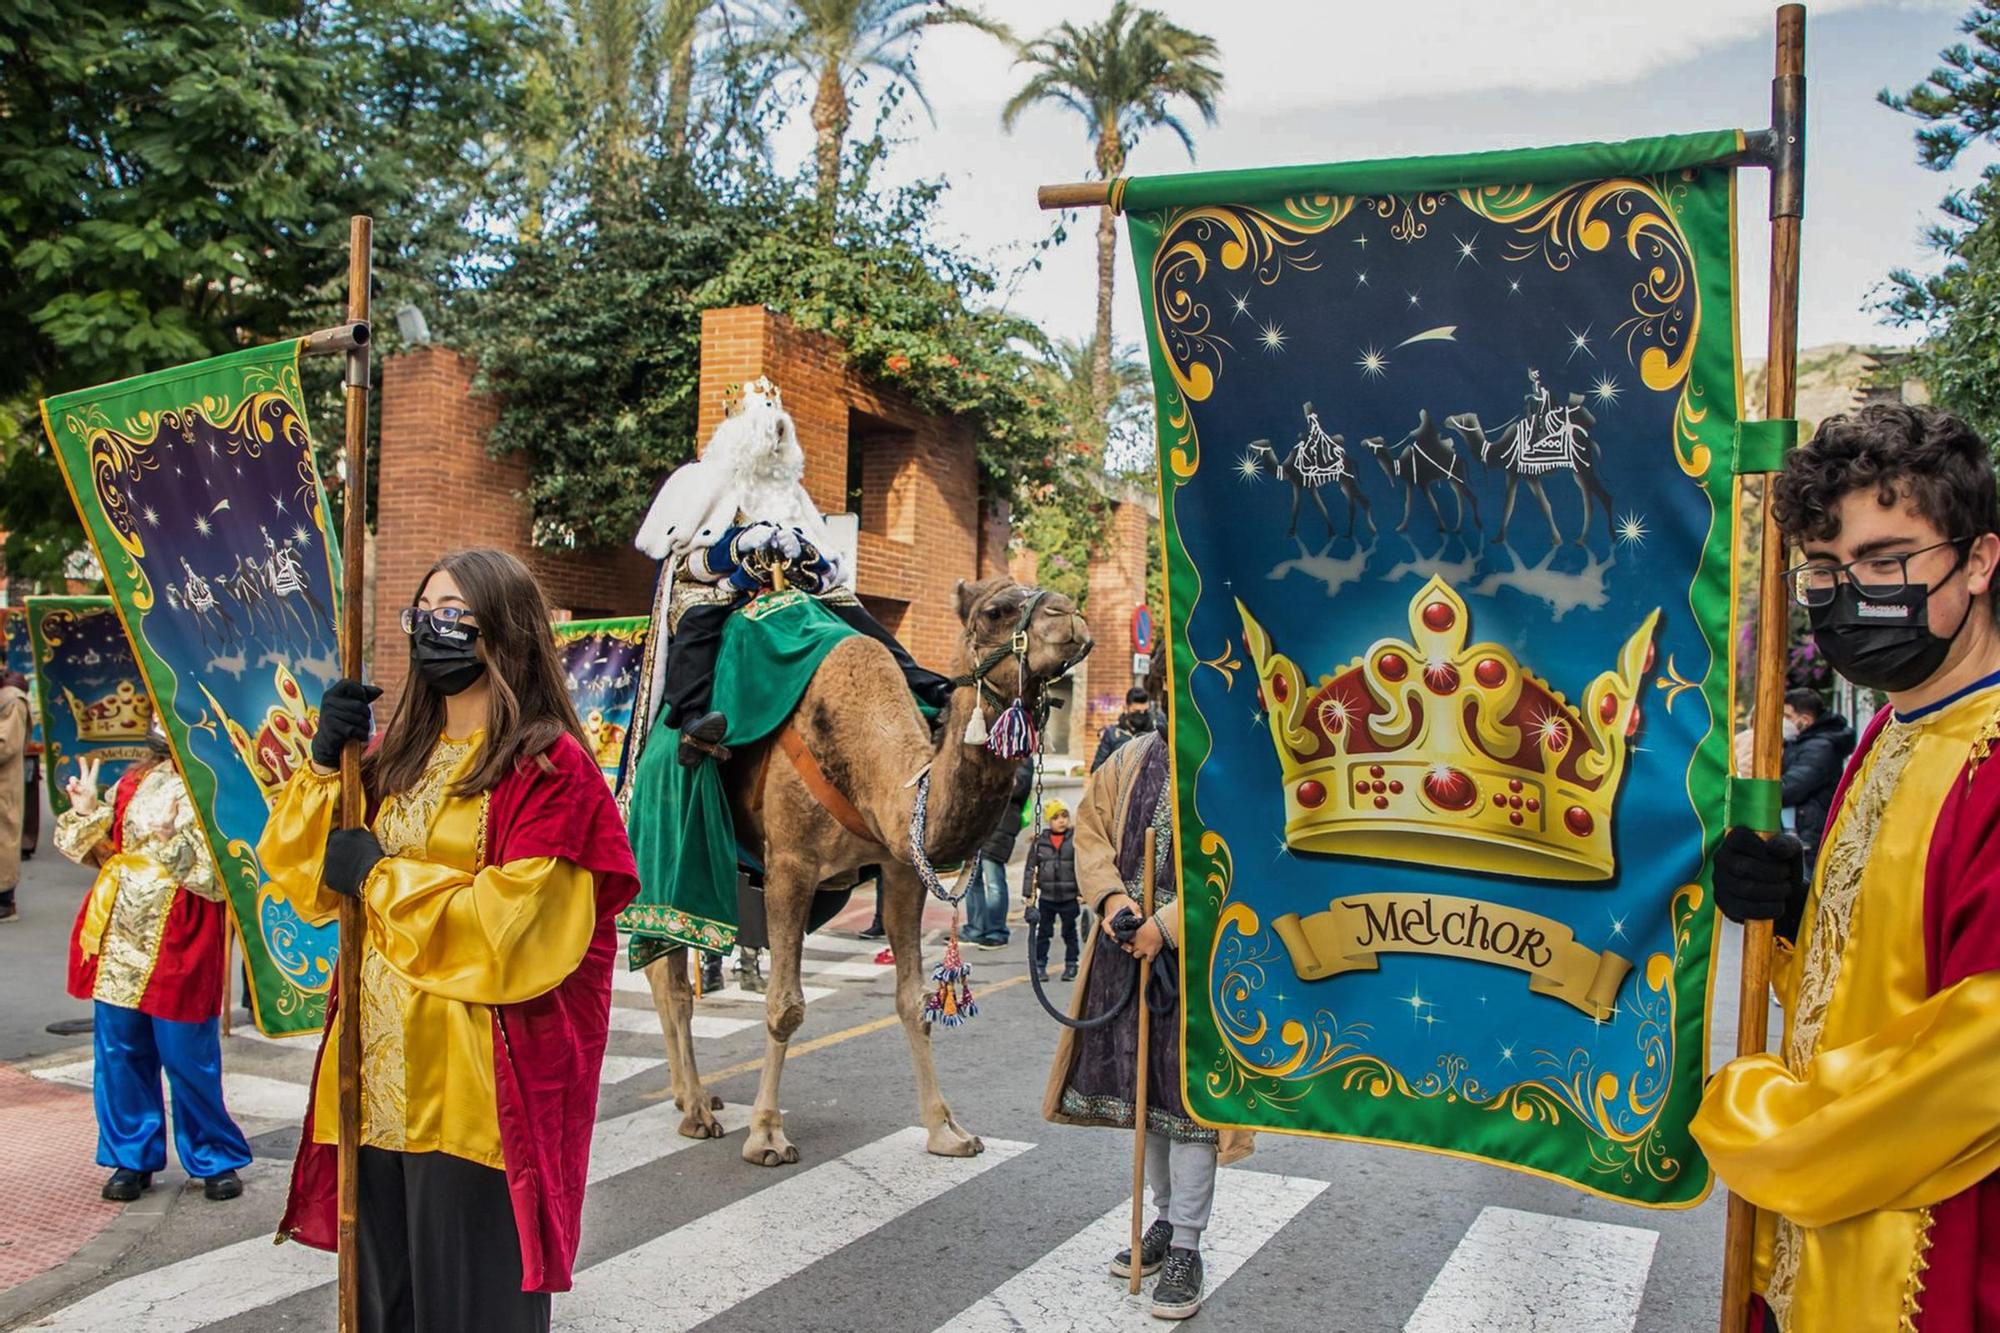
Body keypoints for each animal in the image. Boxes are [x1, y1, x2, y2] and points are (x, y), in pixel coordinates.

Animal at [640, 572, 1088, 1160]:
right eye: (996, 611)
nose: (1070, 614)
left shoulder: (900, 868)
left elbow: (914, 1001)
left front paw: (946, 1130)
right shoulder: (790, 865)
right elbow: (786, 1006)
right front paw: (766, 1134)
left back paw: (687, 1098)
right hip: (668, 855)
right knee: (670, 975)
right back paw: (695, 1108)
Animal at [1360, 404, 1488, 536]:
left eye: (1374, 441)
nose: (1363, 442)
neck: (1398, 465)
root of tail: (1462, 459)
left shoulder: (1422, 482)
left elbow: (1432, 504)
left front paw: (1442, 527)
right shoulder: (1411, 482)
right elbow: (1409, 505)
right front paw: (1402, 527)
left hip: (1456, 478)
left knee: (1462, 499)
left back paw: (1463, 527)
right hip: (1455, 479)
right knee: (1467, 498)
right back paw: (1469, 526)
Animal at [1448, 404, 1616, 548]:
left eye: (1460, 419)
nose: (1447, 419)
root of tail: (1589, 440)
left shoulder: (1529, 474)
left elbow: (1543, 505)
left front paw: (1556, 540)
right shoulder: (1514, 473)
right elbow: (1509, 505)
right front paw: (1499, 538)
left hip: (1581, 466)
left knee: (1593, 500)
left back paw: (1588, 539)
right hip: (1582, 468)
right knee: (1597, 497)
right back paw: (1602, 537)